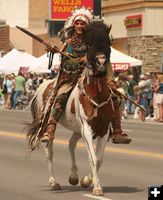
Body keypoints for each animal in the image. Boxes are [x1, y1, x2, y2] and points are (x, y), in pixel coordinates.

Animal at [26, 21, 113, 195]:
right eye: (89, 44)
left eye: (108, 43)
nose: (101, 62)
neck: (96, 95)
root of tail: (43, 85)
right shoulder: (87, 129)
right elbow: (92, 157)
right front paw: (97, 187)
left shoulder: (104, 130)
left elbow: (99, 158)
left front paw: (87, 180)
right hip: (49, 124)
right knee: (49, 152)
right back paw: (54, 183)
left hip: (77, 129)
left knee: (71, 144)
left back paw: (73, 176)